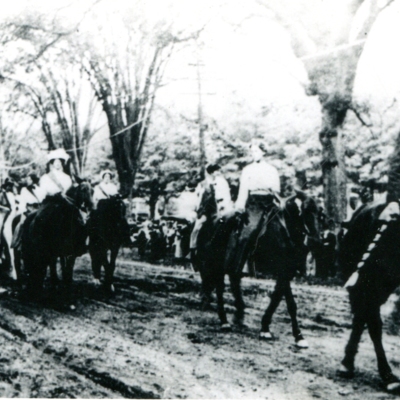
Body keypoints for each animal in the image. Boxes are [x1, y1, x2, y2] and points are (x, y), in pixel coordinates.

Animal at [21, 177, 92, 308]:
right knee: (35, 267)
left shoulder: (69, 253)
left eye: (92, 190)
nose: (88, 206)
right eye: (82, 189)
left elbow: (67, 272)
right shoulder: (58, 252)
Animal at [198, 189, 322, 346]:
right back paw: (224, 321)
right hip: (217, 263)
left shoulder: (287, 272)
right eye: (304, 211)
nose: (316, 241)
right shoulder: (282, 271)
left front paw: (291, 334)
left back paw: (238, 315)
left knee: (233, 282)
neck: (284, 232)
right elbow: (287, 302)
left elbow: (280, 299)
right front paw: (290, 334)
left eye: (320, 213)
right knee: (220, 287)